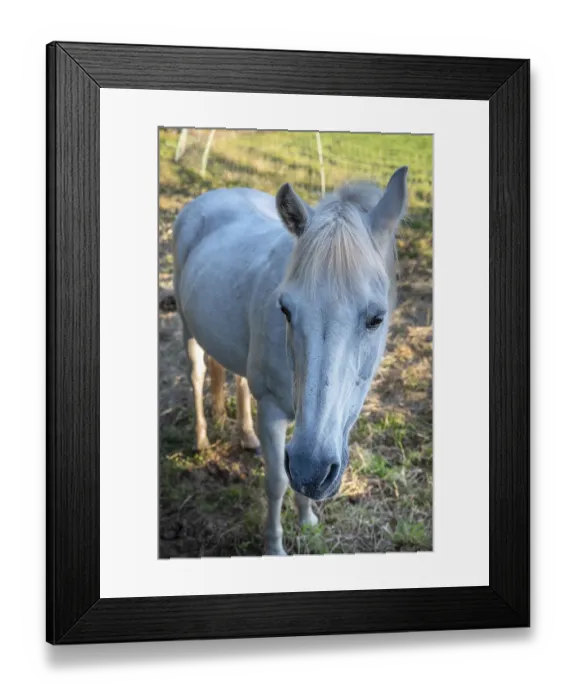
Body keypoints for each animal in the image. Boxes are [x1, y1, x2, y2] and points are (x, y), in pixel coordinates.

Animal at [172, 166, 408, 555]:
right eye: (285, 309)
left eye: (377, 318)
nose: (312, 471)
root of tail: (212, 195)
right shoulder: (273, 411)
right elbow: (278, 480)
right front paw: (274, 547)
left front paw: (308, 519)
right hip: (187, 327)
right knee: (197, 374)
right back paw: (203, 439)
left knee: (236, 380)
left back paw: (246, 436)